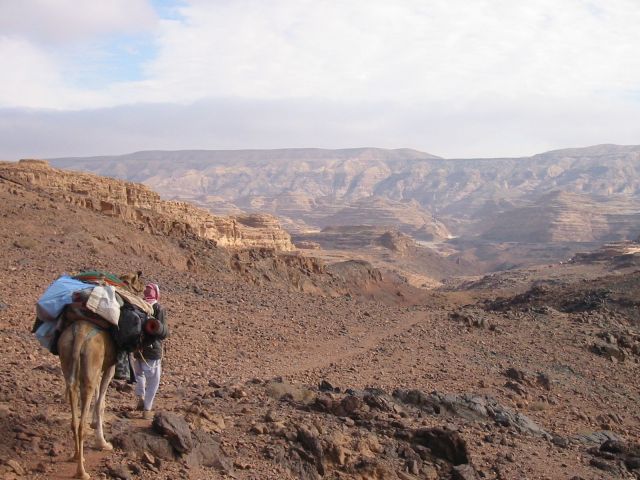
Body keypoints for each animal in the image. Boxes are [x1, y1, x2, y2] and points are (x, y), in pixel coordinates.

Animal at [57, 320, 116, 478]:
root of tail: (79, 334)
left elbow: (98, 398)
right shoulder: (110, 365)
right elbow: (101, 403)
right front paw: (103, 443)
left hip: (66, 355)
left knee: (74, 414)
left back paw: (77, 456)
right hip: (91, 363)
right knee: (81, 425)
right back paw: (82, 472)